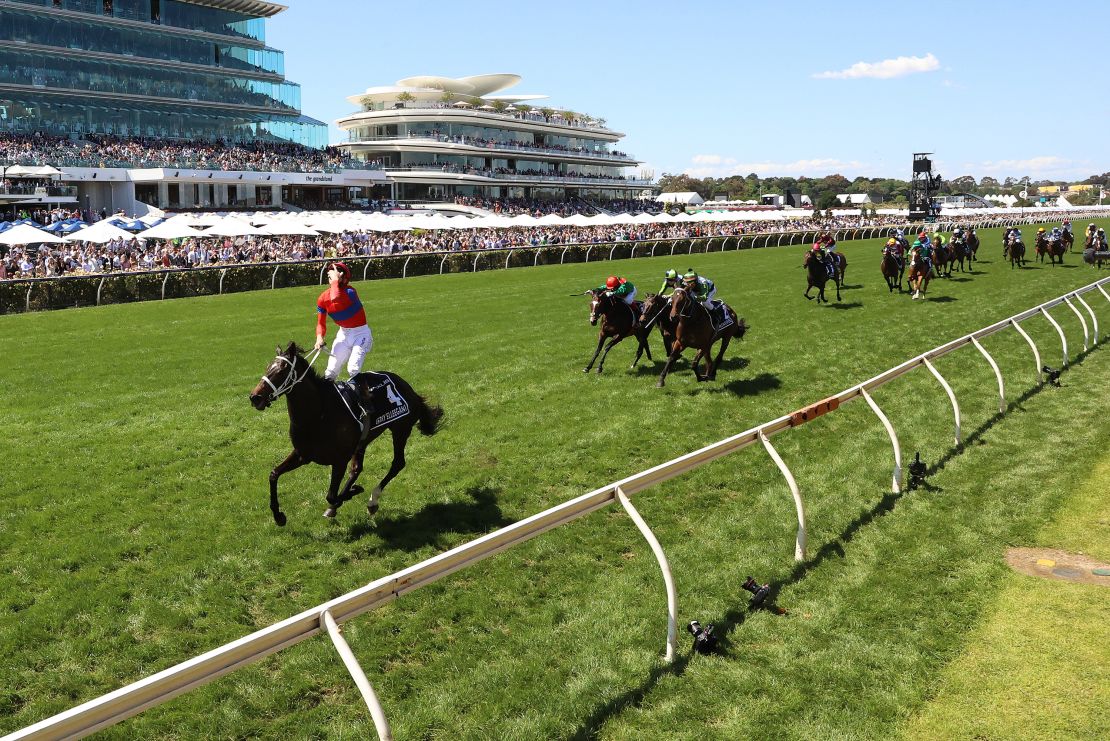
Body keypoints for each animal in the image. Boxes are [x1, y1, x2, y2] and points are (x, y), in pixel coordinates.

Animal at [249, 343, 444, 523]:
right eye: (268, 367)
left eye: (281, 370)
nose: (255, 397)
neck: (317, 415)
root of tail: (409, 388)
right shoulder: (302, 454)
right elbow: (274, 474)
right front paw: (278, 516)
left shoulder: (340, 459)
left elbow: (331, 495)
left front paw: (354, 491)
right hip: (363, 440)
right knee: (357, 468)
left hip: (400, 429)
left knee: (397, 463)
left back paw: (372, 501)